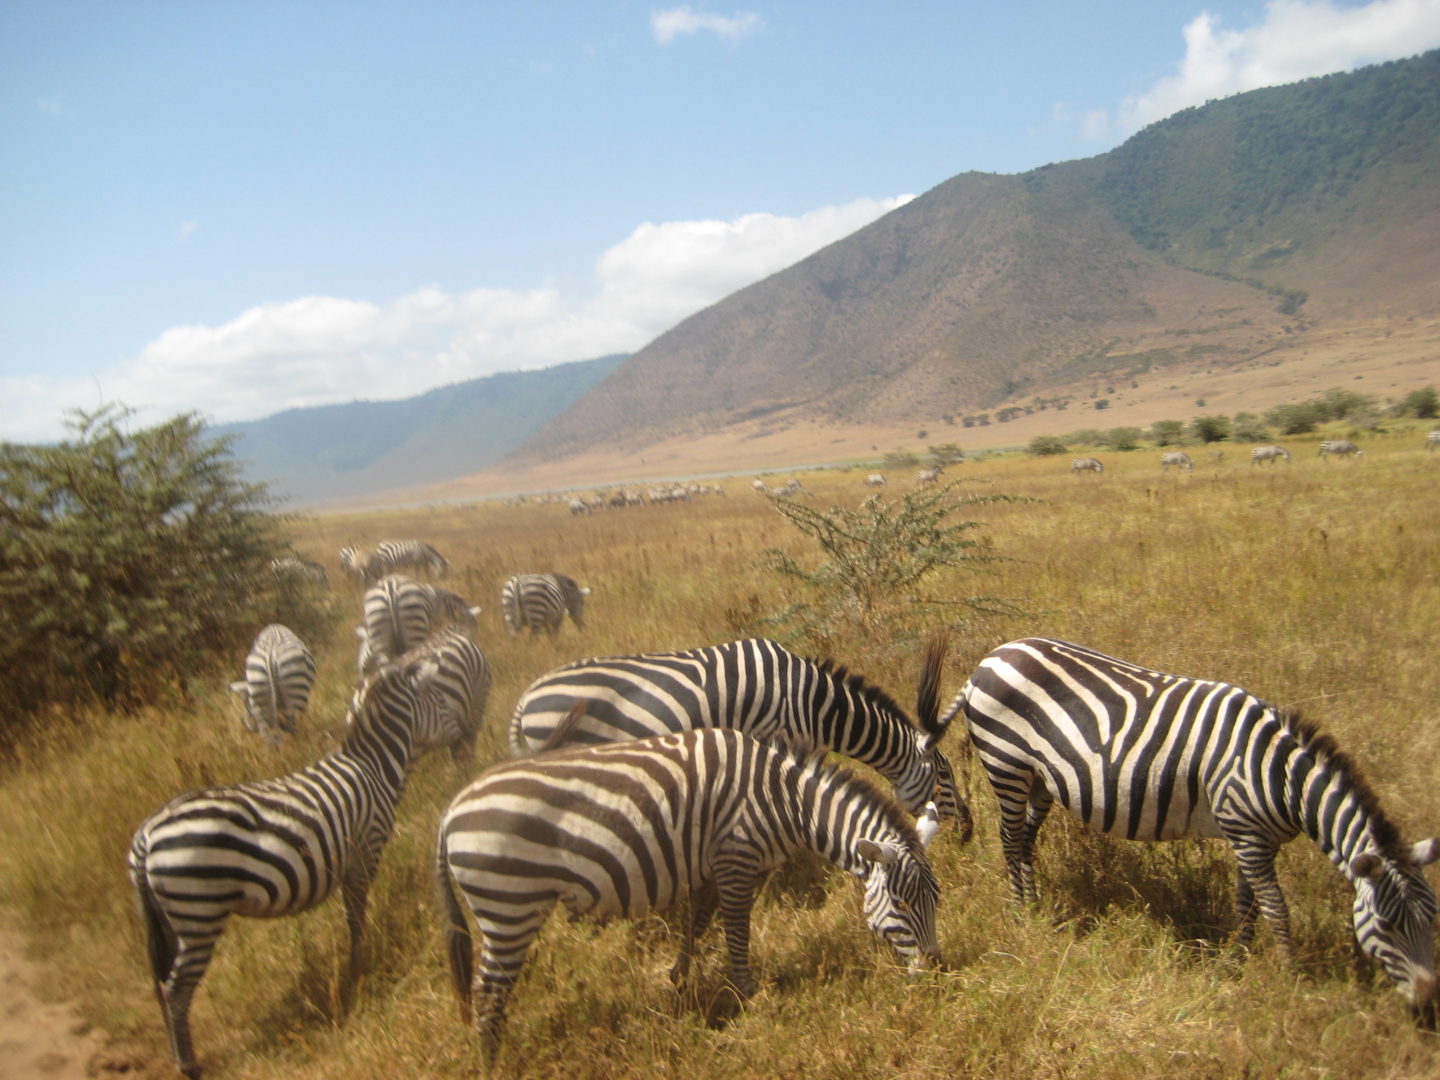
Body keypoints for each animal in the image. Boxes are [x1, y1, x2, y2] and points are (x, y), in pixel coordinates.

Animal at [133, 659, 455, 1080]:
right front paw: (360, 966)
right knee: (176, 989)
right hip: (198, 913)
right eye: (440, 699)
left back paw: (176, 1054)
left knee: (160, 985)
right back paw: (188, 1065)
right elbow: (356, 915)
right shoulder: (364, 852)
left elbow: (352, 914)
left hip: (169, 919)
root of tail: (147, 832)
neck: (373, 768)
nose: (466, 730)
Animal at [432, 728, 944, 1065]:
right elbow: (736, 931)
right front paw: (749, 997)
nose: (938, 975)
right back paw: (492, 1066)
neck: (784, 800)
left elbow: (697, 920)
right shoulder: (737, 857)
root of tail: (451, 811)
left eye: (935, 902)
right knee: (487, 993)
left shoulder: (712, 864)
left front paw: (678, 977)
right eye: (901, 905)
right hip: (508, 906)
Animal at [944, 633, 1440, 1025]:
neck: (1281, 778)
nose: (1428, 1002)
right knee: (1010, 841)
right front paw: (1291, 976)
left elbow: (1247, 906)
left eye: (1433, 920)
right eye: (1388, 926)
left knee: (1026, 841)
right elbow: (1276, 908)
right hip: (1006, 762)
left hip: (1040, 778)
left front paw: (1237, 961)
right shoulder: (1247, 831)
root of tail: (992, 656)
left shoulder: (1252, 839)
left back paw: (1035, 908)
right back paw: (1019, 915)